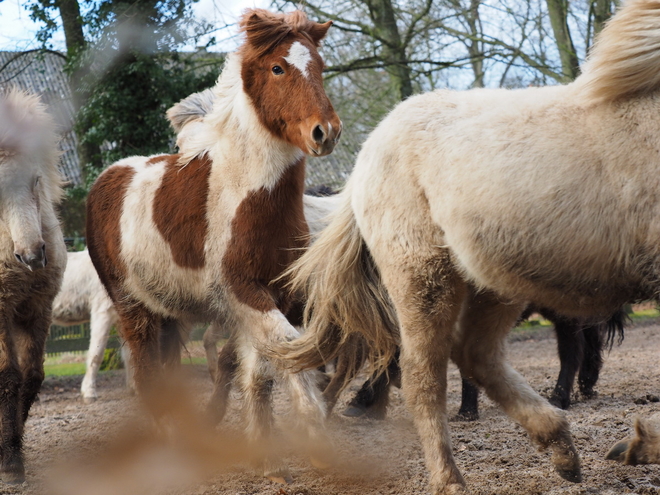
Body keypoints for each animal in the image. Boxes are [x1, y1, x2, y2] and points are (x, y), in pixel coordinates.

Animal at [86, 9, 340, 482]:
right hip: (132, 307)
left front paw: (271, 458)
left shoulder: (277, 294)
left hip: (167, 311)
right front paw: (310, 440)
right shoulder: (243, 292)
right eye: (278, 68)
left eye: (320, 66)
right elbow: (284, 348)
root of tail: (107, 177)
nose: (325, 133)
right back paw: (170, 446)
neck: (247, 198)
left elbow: (261, 370)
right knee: (146, 374)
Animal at [280, 1, 660, 494]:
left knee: (476, 354)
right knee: (425, 376)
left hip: (495, 282)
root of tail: (367, 154)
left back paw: (562, 447)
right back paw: (450, 478)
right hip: (425, 279)